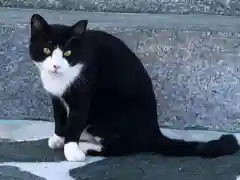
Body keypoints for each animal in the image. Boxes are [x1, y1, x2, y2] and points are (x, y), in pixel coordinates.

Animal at [28, 13, 240, 162]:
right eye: (46, 50)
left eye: (68, 53)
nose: (56, 66)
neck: (60, 80)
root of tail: (154, 131)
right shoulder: (57, 98)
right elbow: (59, 118)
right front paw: (58, 138)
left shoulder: (83, 94)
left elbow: (74, 123)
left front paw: (71, 149)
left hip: (114, 113)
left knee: (125, 147)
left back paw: (86, 147)